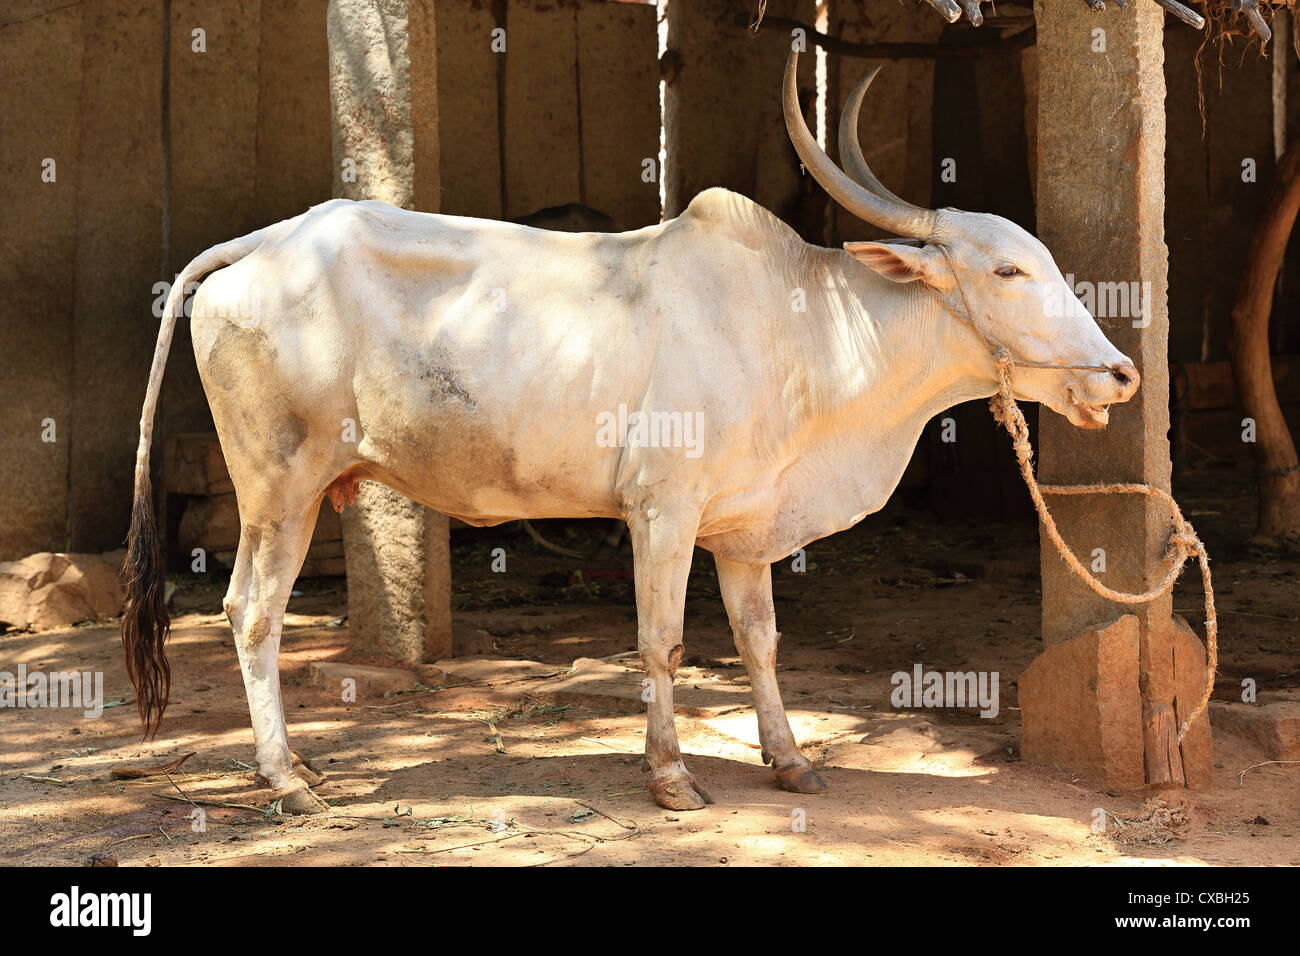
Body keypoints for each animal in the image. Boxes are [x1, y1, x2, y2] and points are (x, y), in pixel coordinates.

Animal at [122, 54, 1138, 816]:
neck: (804, 329)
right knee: (251, 613)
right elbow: (664, 642)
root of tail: (261, 245)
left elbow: (761, 641)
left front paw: (791, 761)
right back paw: (286, 779)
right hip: (279, 489)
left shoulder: (745, 528)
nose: (1120, 375)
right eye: (1008, 271)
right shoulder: (663, 510)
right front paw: (671, 777)